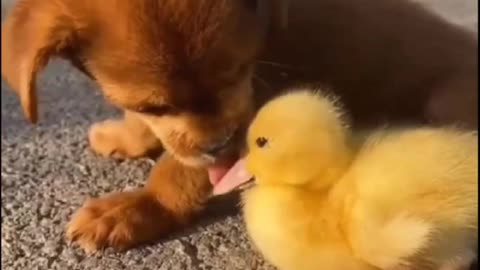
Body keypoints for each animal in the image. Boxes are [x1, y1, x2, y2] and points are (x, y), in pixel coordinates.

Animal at [1, 0, 478, 253]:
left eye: (236, 72)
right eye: (155, 104)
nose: (220, 144)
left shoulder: (255, 107)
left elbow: (179, 172)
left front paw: (139, 207)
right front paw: (124, 136)